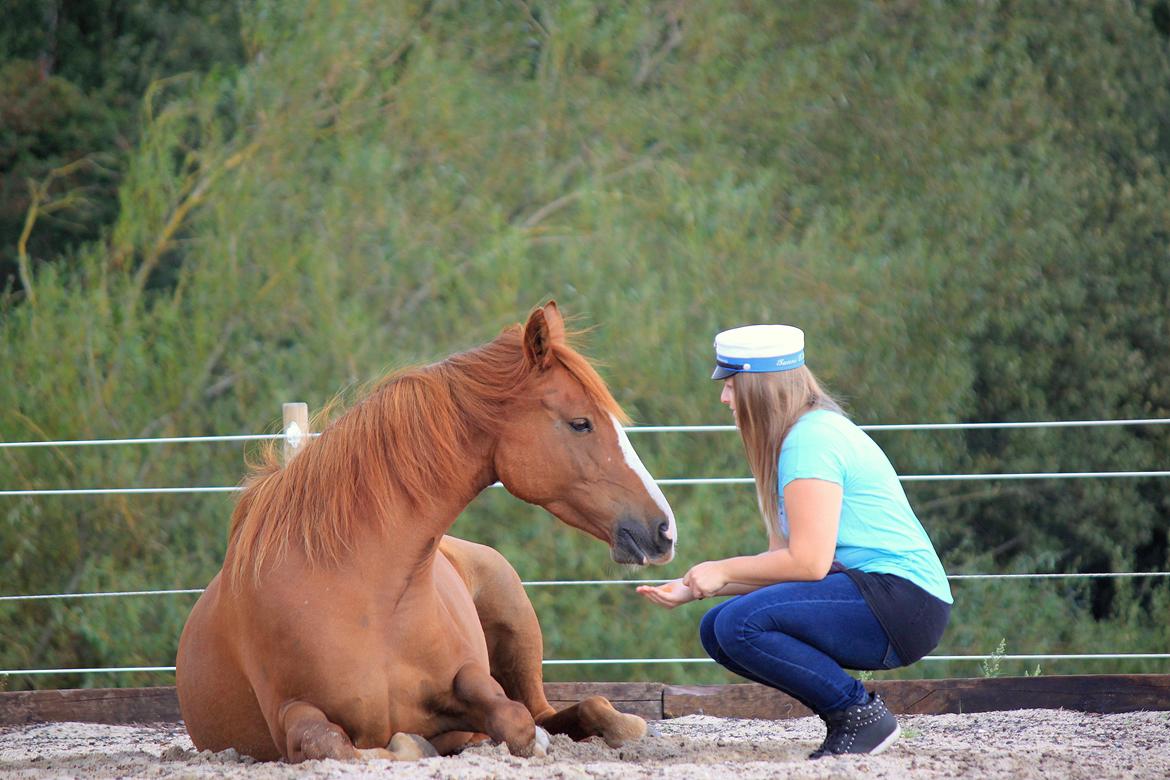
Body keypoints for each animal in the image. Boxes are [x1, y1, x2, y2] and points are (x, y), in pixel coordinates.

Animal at [177, 304, 683, 762]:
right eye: (581, 423)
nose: (664, 529)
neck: (364, 594)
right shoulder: (291, 714)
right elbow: (336, 744)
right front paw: (412, 743)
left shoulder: (470, 678)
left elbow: (513, 719)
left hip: (515, 613)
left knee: (558, 709)